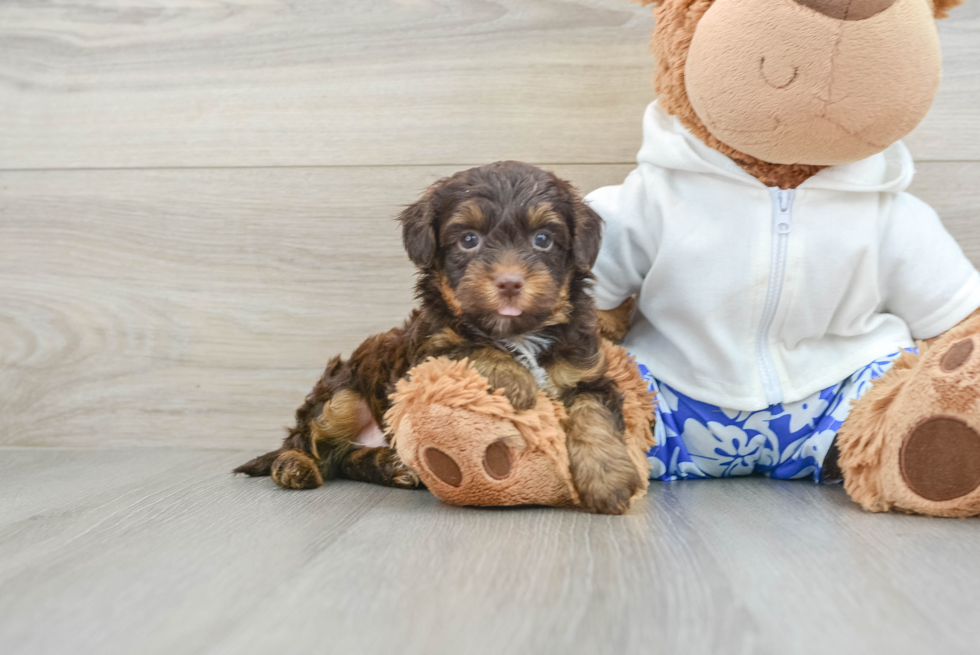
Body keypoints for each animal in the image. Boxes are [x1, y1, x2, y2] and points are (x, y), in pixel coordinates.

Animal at [233, 161, 640, 516]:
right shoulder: (425, 356)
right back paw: (293, 467)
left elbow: (593, 415)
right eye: (469, 240)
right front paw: (518, 382)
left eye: (543, 239)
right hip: (341, 396)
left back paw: (391, 466)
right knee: (307, 442)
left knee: (345, 459)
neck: (520, 332)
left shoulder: (587, 374)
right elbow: (474, 346)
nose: (509, 282)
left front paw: (608, 479)